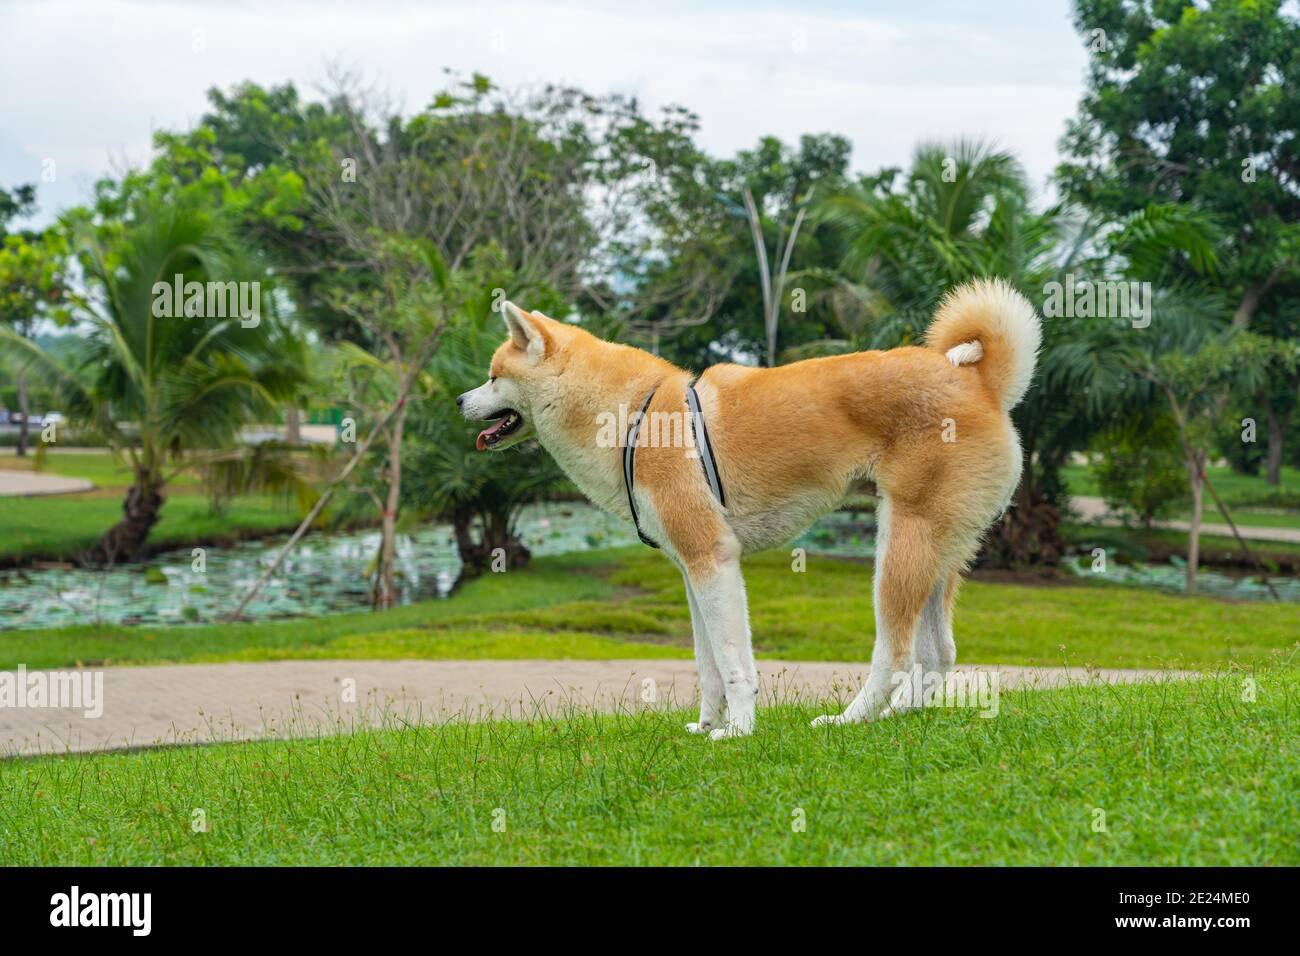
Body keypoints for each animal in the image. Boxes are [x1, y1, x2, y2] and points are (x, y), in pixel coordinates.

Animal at [462, 277, 1040, 738]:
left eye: (492, 376)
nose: (459, 401)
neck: (635, 417)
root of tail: (980, 382)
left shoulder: (713, 561)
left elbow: (733, 662)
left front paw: (738, 730)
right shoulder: (691, 572)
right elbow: (708, 664)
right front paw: (706, 725)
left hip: (898, 552)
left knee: (894, 653)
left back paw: (851, 719)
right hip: (936, 553)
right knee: (937, 654)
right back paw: (897, 716)